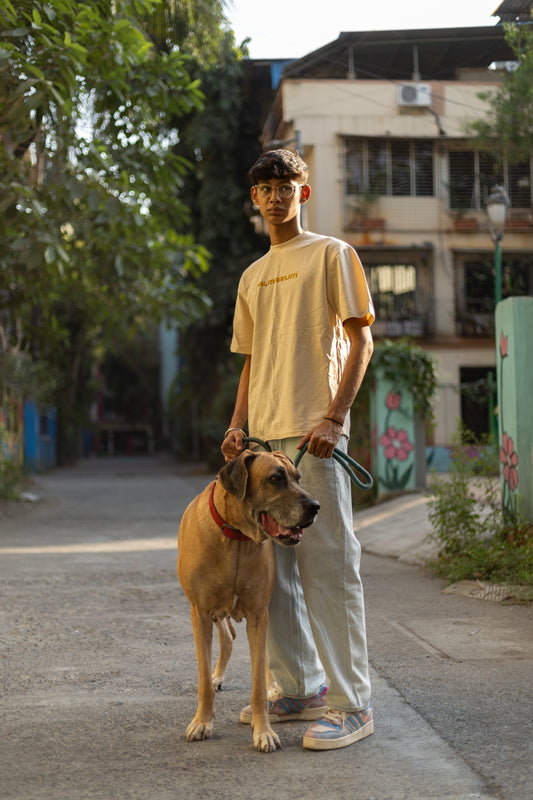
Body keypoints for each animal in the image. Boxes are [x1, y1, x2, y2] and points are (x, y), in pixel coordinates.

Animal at [179, 450, 318, 752]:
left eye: (298, 477)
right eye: (276, 478)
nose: (316, 506)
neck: (235, 538)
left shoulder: (258, 615)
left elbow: (257, 685)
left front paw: (263, 731)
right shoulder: (200, 613)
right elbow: (203, 678)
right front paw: (202, 722)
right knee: (227, 636)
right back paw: (217, 677)